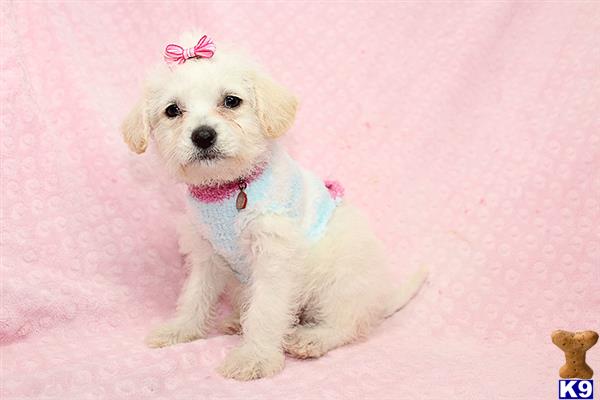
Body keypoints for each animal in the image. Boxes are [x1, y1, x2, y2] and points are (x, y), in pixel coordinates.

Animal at [120, 32, 426, 380]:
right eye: (172, 110)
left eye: (231, 101)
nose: (203, 135)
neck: (228, 190)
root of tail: (379, 299)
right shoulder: (206, 255)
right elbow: (195, 296)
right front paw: (181, 329)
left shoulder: (273, 257)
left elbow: (266, 311)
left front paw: (255, 357)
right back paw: (237, 321)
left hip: (341, 279)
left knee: (347, 324)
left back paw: (312, 338)